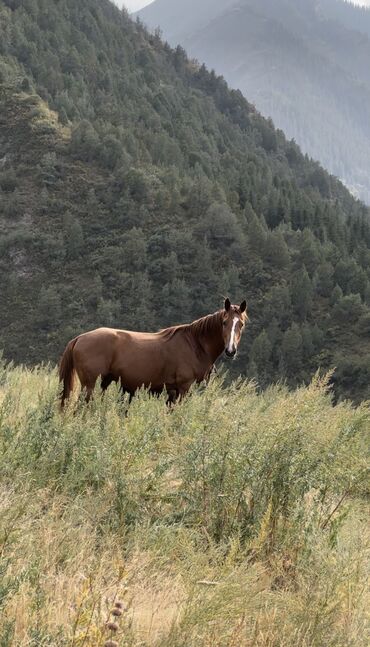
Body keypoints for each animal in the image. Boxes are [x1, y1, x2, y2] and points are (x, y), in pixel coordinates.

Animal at [58, 298, 249, 408]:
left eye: (241, 324)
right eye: (224, 322)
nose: (231, 350)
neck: (195, 344)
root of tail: (79, 338)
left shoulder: (172, 392)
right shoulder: (184, 388)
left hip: (102, 383)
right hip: (89, 386)